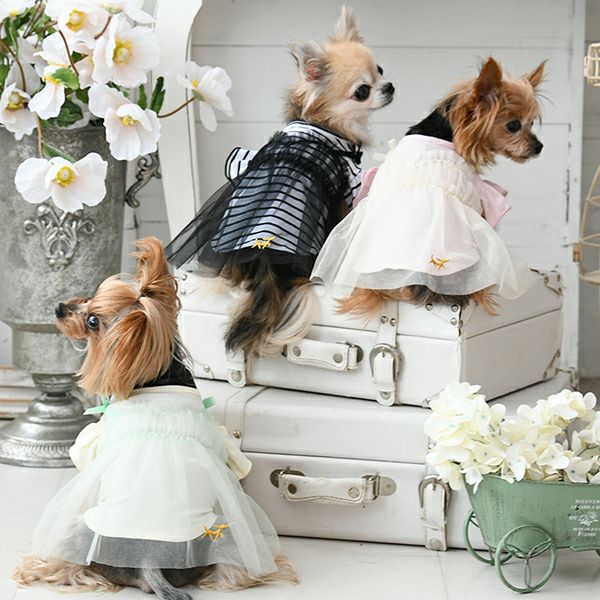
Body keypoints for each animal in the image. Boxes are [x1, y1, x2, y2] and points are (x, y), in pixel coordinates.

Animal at [14, 237, 297, 599]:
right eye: (91, 294)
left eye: (92, 322)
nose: (60, 308)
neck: (156, 376)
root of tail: (149, 561)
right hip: (225, 537)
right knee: (234, 571)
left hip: (79, 530)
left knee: (68, 566)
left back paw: (31, 565)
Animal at [165, 6, 394, 356]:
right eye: (362, 91)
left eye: (380, 70)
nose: (390, 86)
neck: (323, 121)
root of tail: (265, 262)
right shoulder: (349, 183)